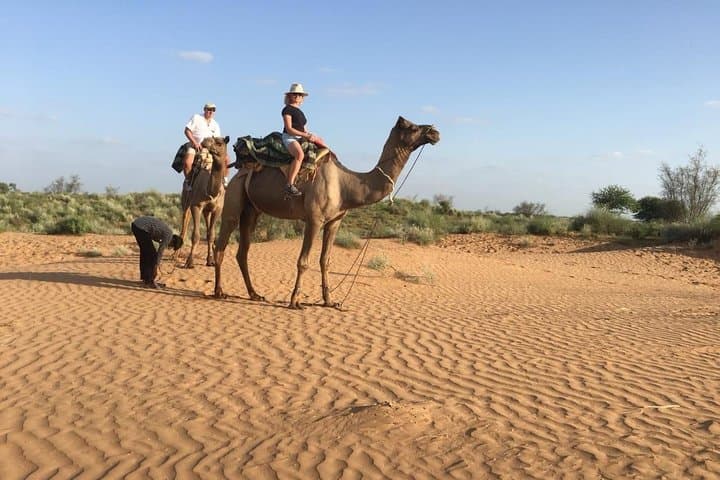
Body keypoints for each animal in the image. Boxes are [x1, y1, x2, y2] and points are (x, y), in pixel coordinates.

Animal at [178, 136, 229, 268]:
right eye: (211, 138)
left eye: (219, 143)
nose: (205, 141)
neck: (210, 190)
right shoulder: (196, 206)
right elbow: (195, 235)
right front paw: (189, 262)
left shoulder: (217, 210)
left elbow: (211, 235)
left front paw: (210, 261)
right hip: (186, 201)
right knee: (185, 220)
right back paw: (175, 255)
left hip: (207, 211)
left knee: (207, 230)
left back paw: (209, 258)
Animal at [213, 116, 440, 308]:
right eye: (412, 127)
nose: (435, 132)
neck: (346, 185)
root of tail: (238, 169)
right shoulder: (314, 219)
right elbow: (303, 261)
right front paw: (295, 302)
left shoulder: (334, 221)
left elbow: (325, 261)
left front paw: (329, 301)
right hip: (234, 196)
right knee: (222, 242)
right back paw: (218, 291)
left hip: (252, 211)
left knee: (243, 251)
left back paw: (254, 294)